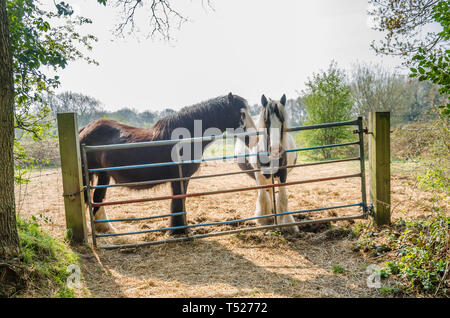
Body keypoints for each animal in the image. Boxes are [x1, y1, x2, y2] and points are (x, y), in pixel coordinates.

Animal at [77, 93, 253, 235]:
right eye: (242, 113)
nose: (252, 137)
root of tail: (85, 129)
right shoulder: (179, 177)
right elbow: (178, 201)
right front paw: (178, 231)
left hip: (103, 175)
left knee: (97, 198)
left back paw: (106, 228)